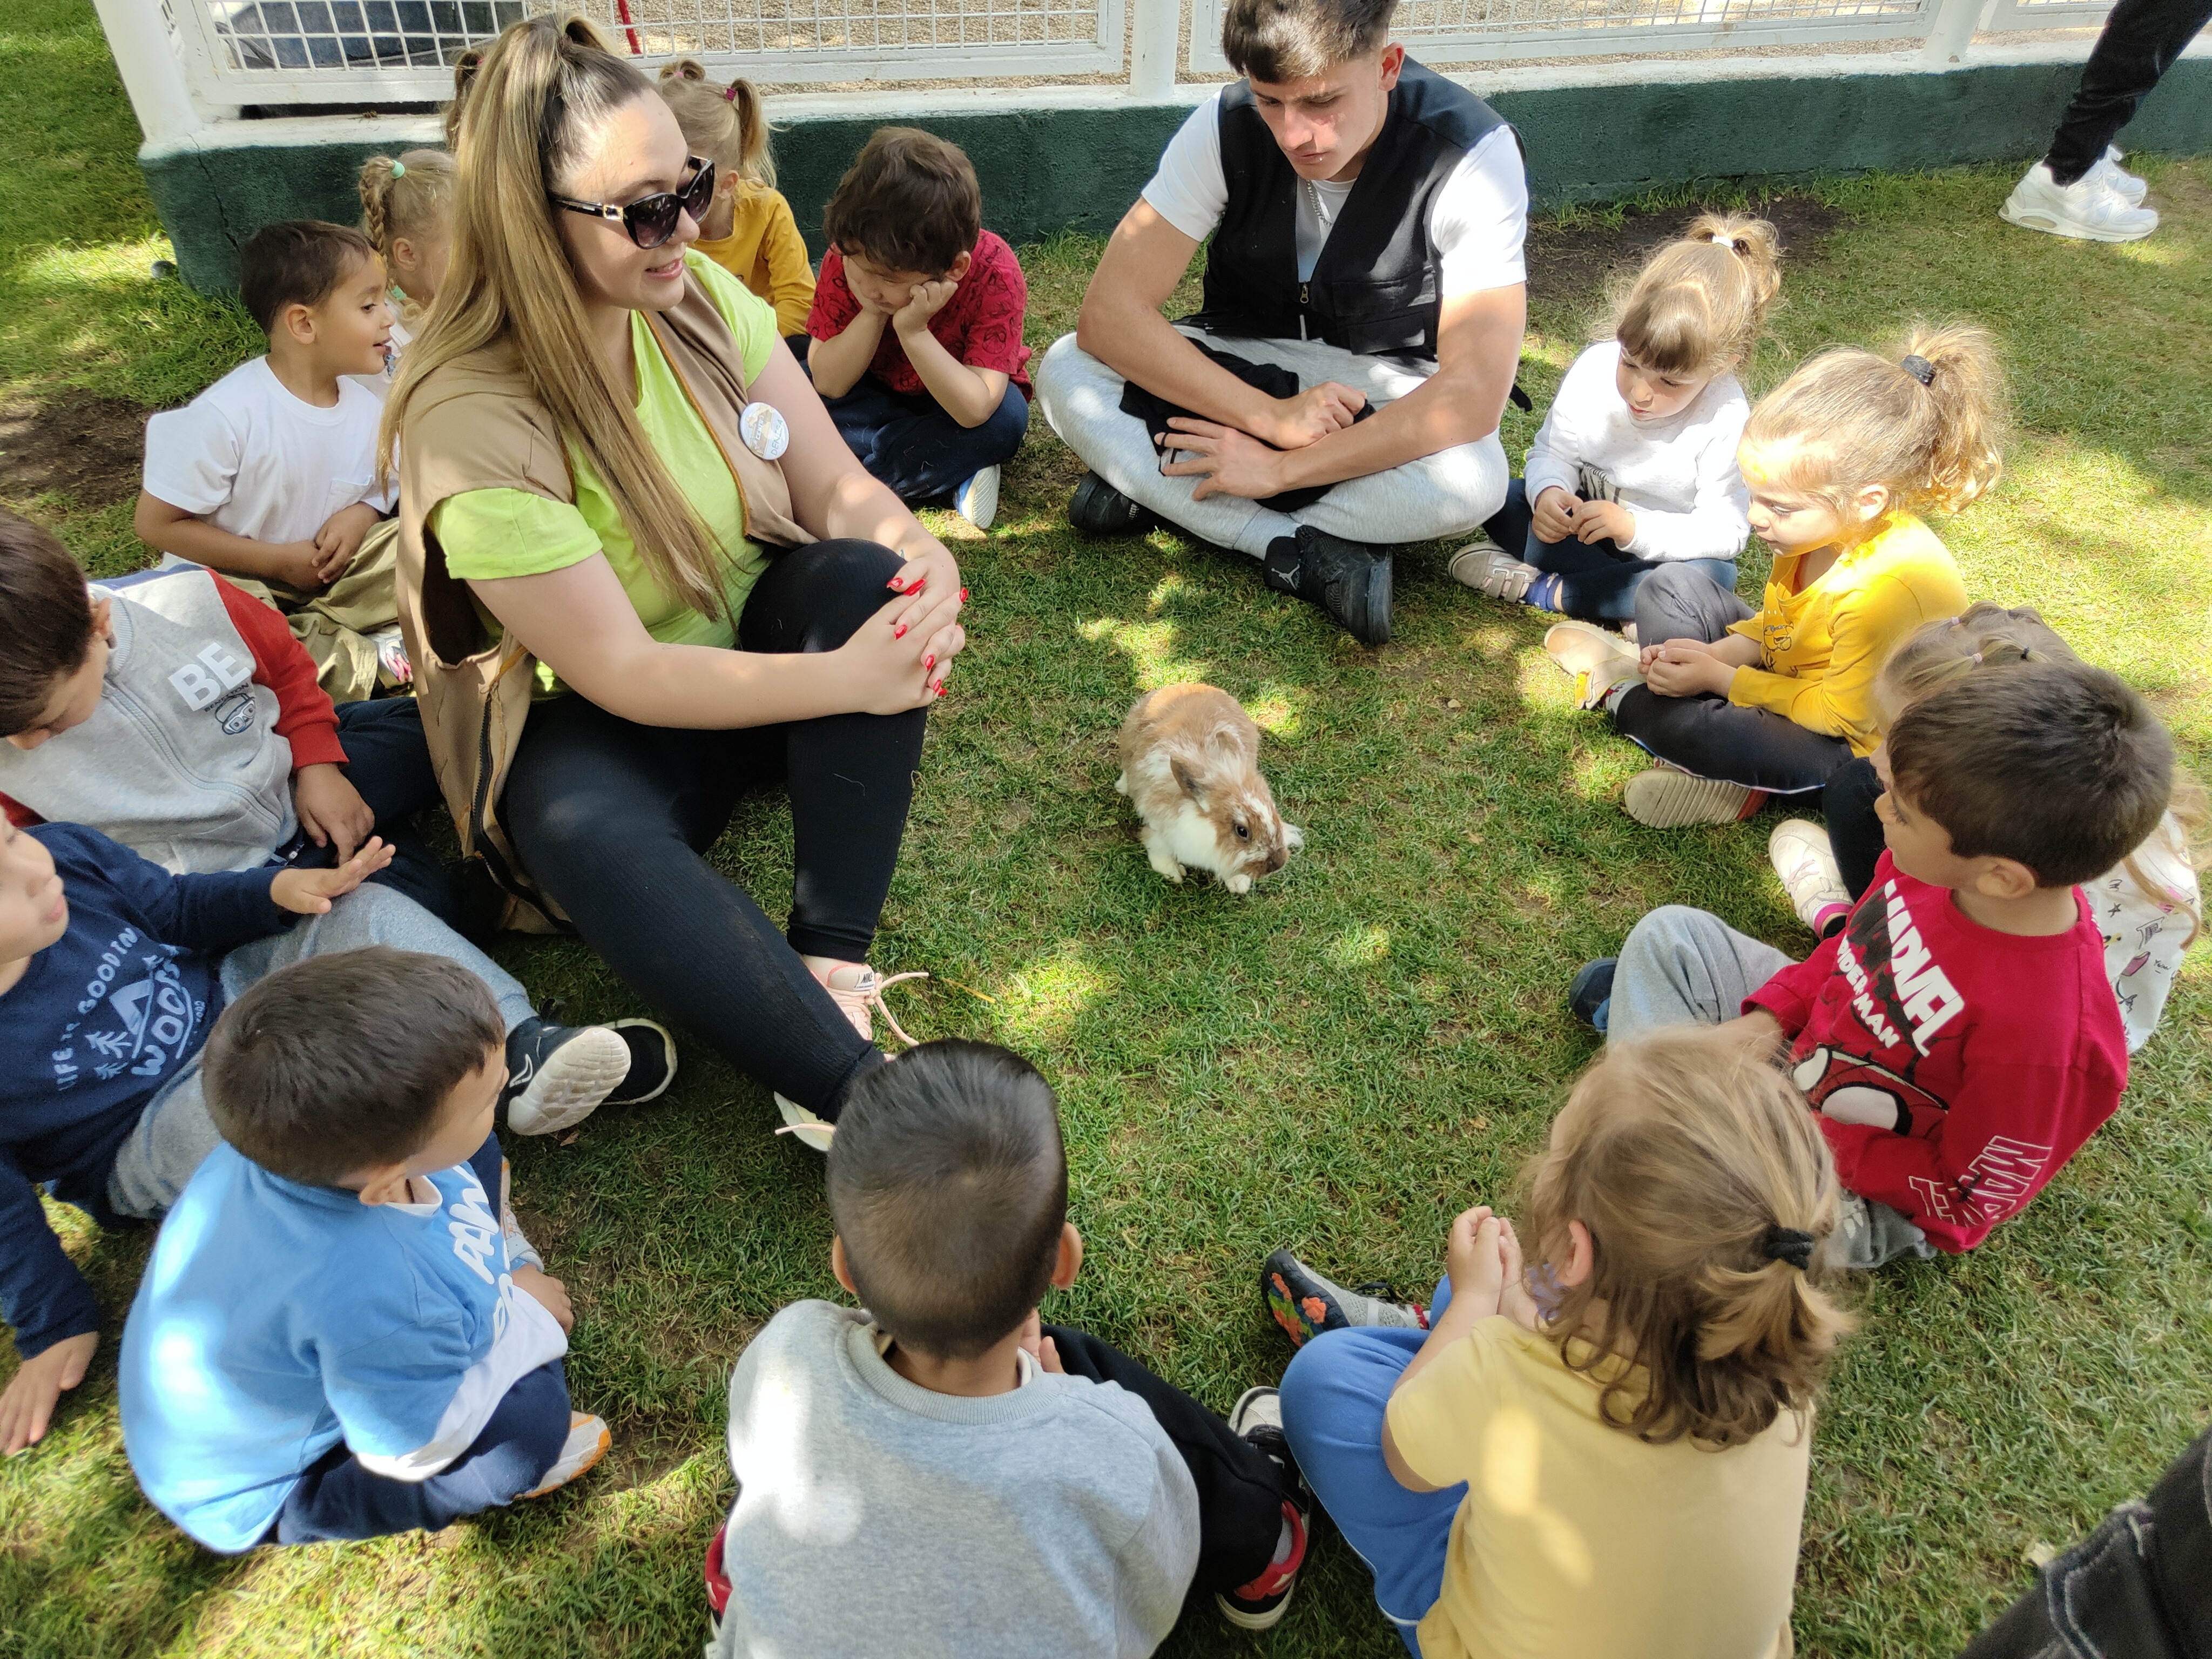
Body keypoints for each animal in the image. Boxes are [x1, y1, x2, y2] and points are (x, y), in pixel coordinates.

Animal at [1115, 683, 1302, 893]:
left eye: (1274, 811)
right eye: (1242, 831)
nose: (1278, 864)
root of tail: (1189, 684)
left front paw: (1239, 884)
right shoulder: (1159, 828)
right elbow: (1157, 849)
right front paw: (1174, 873)